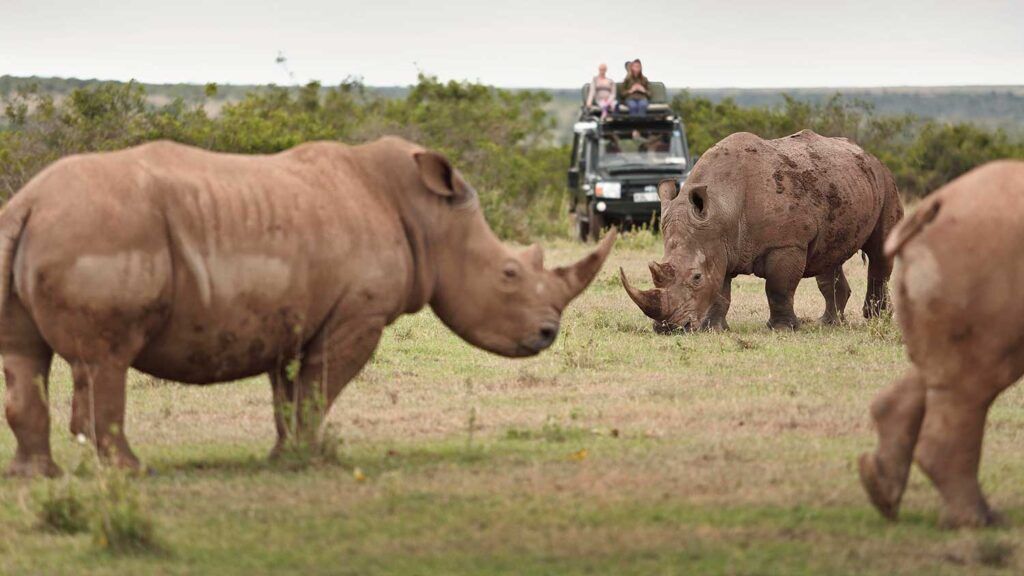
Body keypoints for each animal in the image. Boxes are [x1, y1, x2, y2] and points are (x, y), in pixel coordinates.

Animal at [2, 136, 614, 473]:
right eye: (510, 274)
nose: (547, 334)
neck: (428, 218)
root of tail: (27, 202)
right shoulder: (356, 316)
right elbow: (321, 388)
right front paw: (309, 459)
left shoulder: (287, 316)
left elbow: (289, 394)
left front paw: (284, 458)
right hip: (98, 230)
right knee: (105, 360)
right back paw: (133, 472)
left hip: (53, 228)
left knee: (25, 358)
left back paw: (38, 478)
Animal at [618, 127, 901, 330]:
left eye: (696, 277)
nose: (667, 328)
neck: (722, 207)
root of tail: (869, 155)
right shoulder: (720, 245)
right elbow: (720, 290)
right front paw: (714, 328)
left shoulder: (786, 244)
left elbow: (777, 288)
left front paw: (782, 329)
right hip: (844, 185)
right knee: (829, 258)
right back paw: (829, 324)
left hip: (886, 182)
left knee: (879, 253)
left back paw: (875, 319)